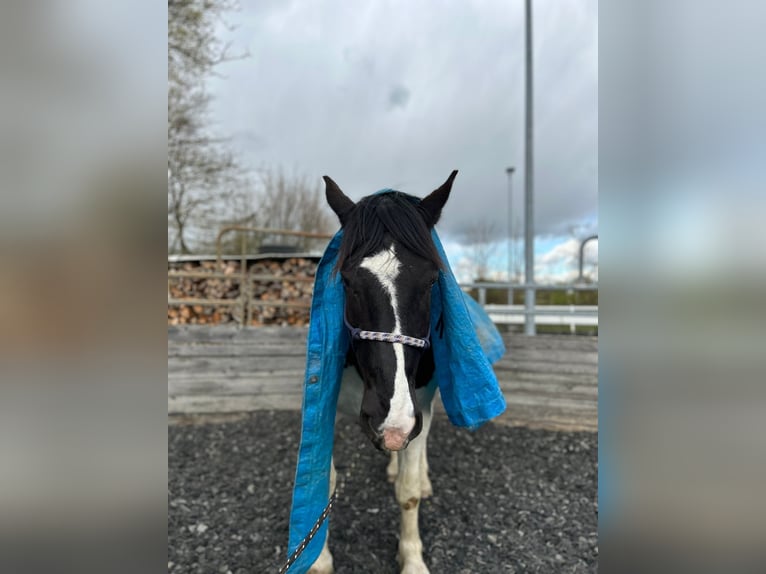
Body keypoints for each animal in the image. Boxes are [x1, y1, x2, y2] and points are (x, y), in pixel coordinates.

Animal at [307, 171, 458, 574]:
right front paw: (319, 560)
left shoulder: (418, 409)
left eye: (432, 281)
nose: (390, 422)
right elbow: (324, 482)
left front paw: (412, 558)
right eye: (347, 282)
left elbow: (408, 491)